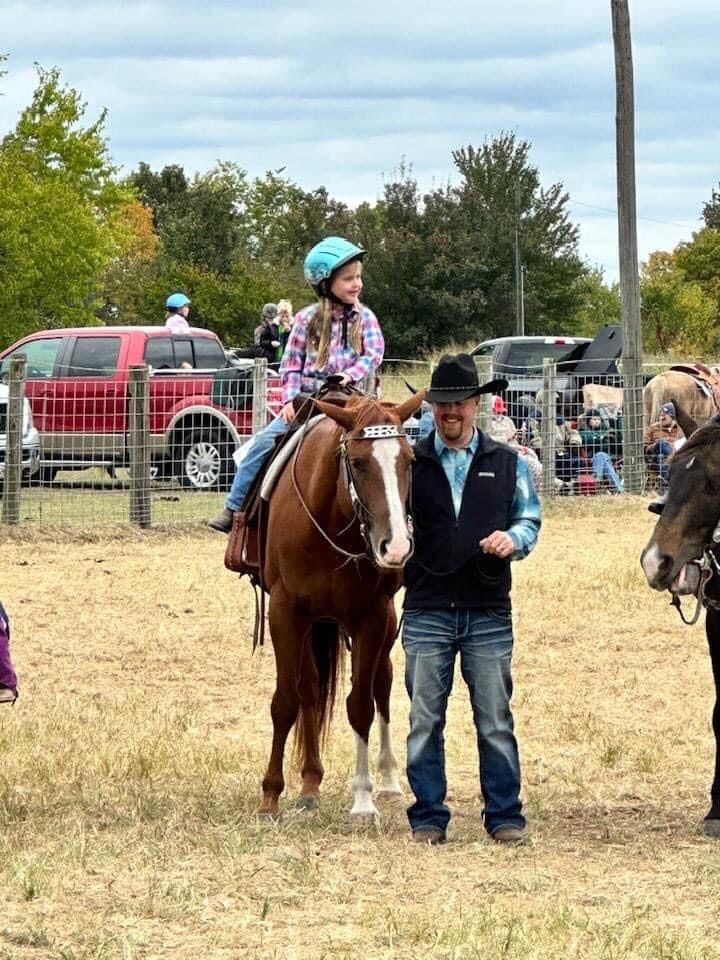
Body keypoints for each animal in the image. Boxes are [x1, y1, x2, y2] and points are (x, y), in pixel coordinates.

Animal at [258, 390, 424, 816]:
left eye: (409, 459)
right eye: (359, 462)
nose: (396, 546)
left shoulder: (371, 615)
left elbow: (361, 704)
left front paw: (363, 799)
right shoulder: (285, 611)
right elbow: (286, 701)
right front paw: (270, 796)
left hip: (384, 621)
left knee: (381, 684)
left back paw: (388, 781)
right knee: (310, 688)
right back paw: (310, 784)